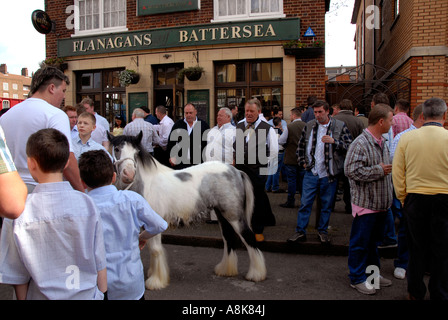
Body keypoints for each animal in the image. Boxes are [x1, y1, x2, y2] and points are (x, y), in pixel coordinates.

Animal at [108, 132, 266, 290]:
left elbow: (155, 249)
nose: (129, 174)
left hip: (233, 216)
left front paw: (156, 281)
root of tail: (236, 171)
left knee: (248, 237)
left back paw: (256, 274)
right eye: (116, 149)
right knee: (228, 238)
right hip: (222, 214)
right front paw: (153, 273)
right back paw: (225, 270)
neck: (148, 184)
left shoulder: (155, 224)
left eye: (136, 153)